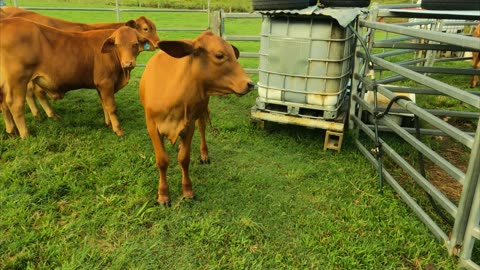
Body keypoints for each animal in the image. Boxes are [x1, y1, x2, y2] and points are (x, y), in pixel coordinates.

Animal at [139, 31, 255, 205]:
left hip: (201, 111)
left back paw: (204, 154)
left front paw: (187, 190)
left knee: (202, 128)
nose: (250, 84)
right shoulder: (152, 127)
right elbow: (162, 160)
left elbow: (184, 159)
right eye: (219, 55)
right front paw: (163, 194)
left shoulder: (189, 125)